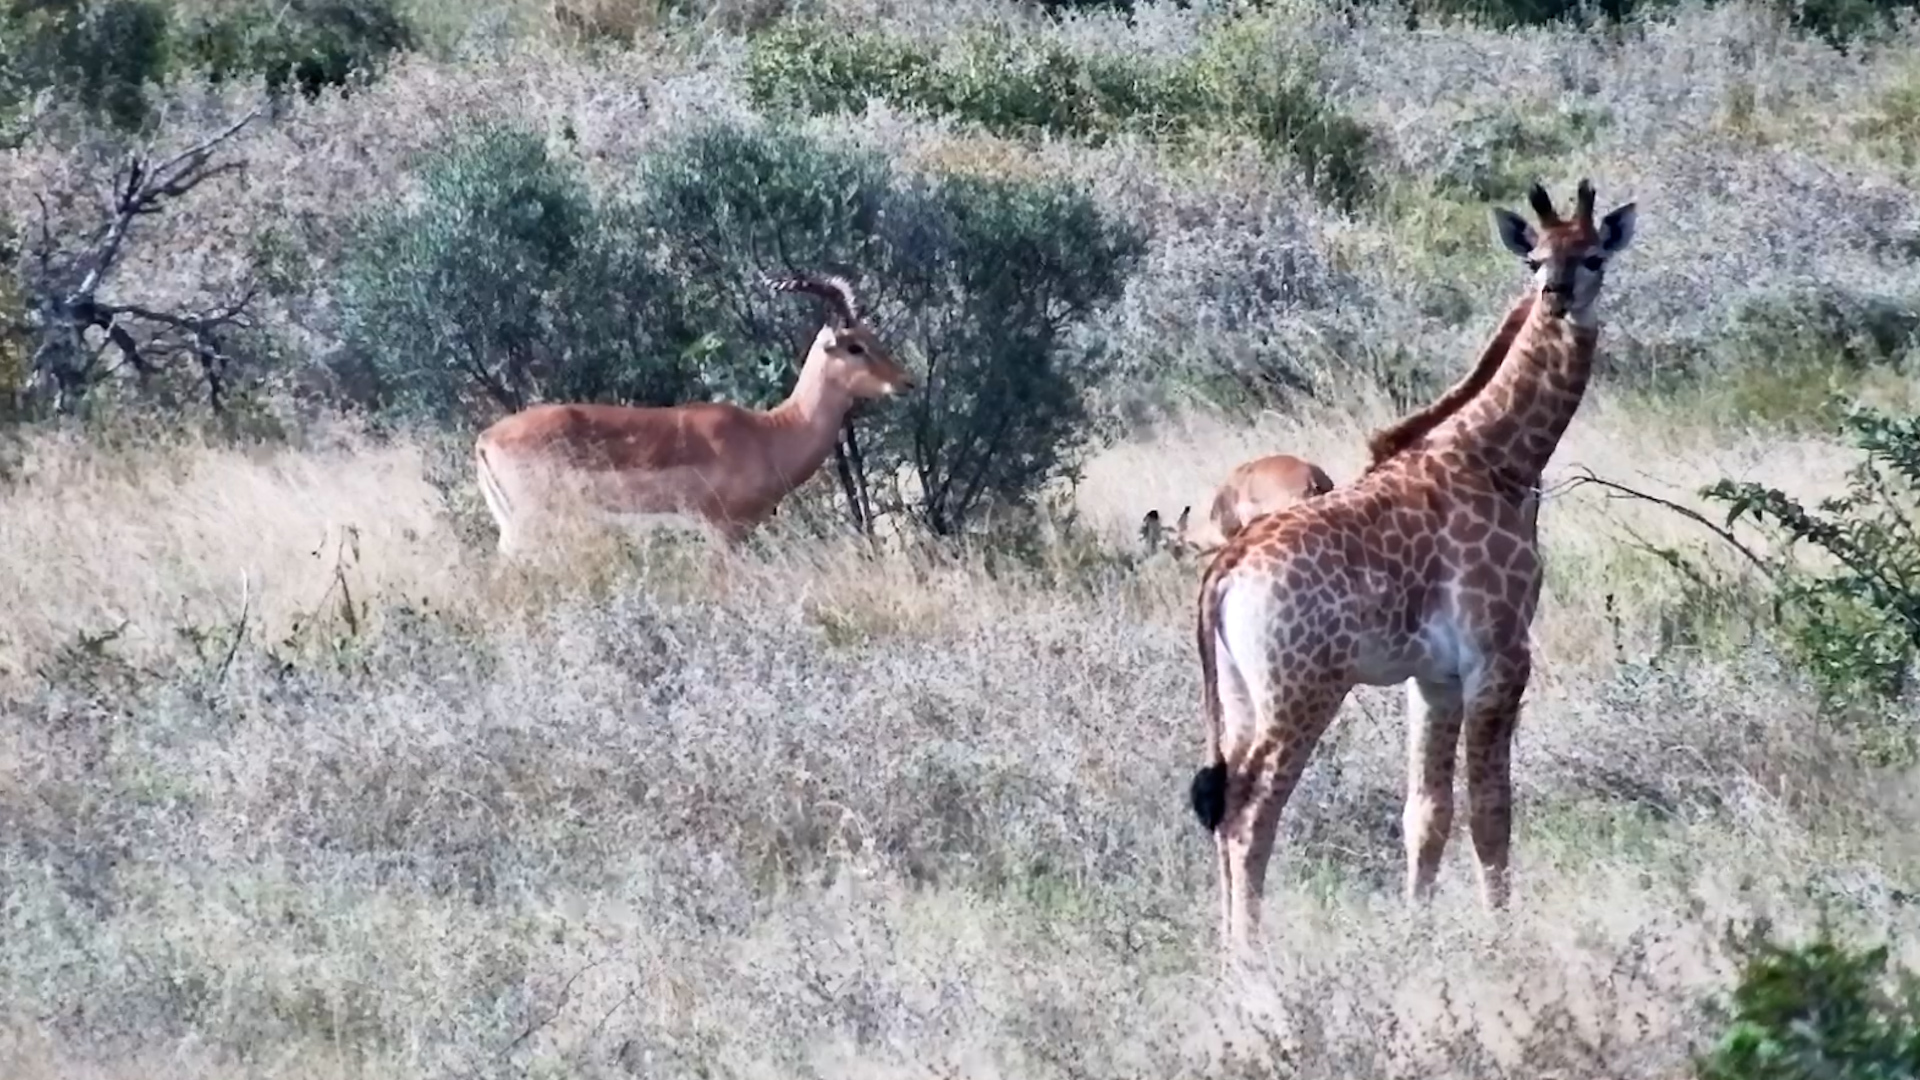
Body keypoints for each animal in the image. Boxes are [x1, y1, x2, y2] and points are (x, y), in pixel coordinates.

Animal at [1188, 179, 1636, 956]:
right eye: (1536, 260)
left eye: (1595, 257)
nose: (1554, 296)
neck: (1503, 460)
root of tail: (1226, 568)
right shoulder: (1500, 656)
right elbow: (1491, 810)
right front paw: (1501, 938)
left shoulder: (1433, 677)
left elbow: (1425, 813)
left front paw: (1417, 931)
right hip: (1302, 690)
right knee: (1249, 811)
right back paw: (1251, 958)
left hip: (1240, 697)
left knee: (1224, 810)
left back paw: (1226, 949)